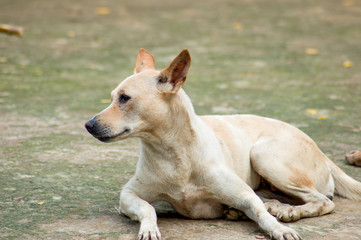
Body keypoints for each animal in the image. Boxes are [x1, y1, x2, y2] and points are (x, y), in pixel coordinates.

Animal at [85, 48, 360, 240]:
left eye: (124, 98)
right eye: (112, 97)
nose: (88, 124)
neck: (174, 155)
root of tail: (322, 152)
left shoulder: (244, 194)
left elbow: (261, 215)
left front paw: (278, 228)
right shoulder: (128, 195)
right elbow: (148, 210)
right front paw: (149, 228)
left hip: (264, 155)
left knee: (324, 201)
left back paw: (291, 211)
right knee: (276, 198)